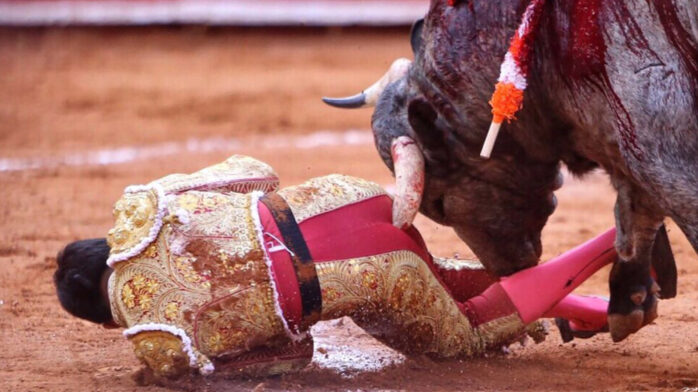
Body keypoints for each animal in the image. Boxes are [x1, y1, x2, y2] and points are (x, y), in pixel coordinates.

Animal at [324, 0, 692, 342]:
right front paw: (632, 296)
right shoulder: (627, 142)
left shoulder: (662, 146)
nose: (508, 271)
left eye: (439, 204)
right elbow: (634, 215)